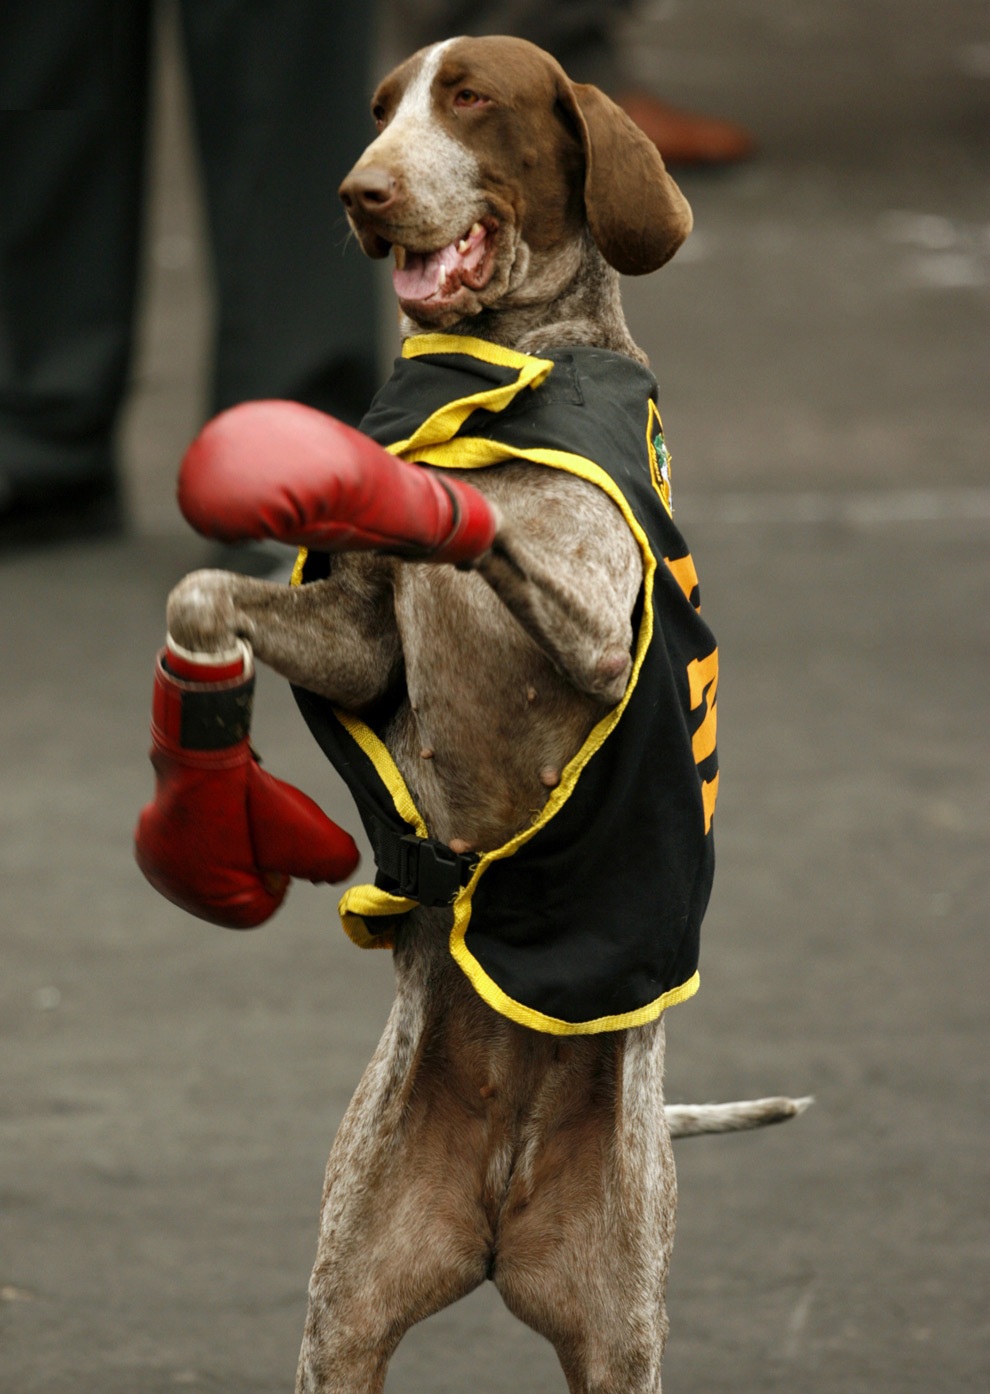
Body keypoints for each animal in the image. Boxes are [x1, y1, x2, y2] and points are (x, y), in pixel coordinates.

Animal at [153, 35, 808, 1394]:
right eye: (380, 107)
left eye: (471, 100)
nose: (362, 191)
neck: (509, 355)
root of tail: (503, 1192)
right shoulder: (355, 643)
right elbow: (202, 594)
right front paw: (201, 807)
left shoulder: (600, 628)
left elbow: (476, 514)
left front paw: (423, 487)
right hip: (344, 1315)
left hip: (620, 1335)